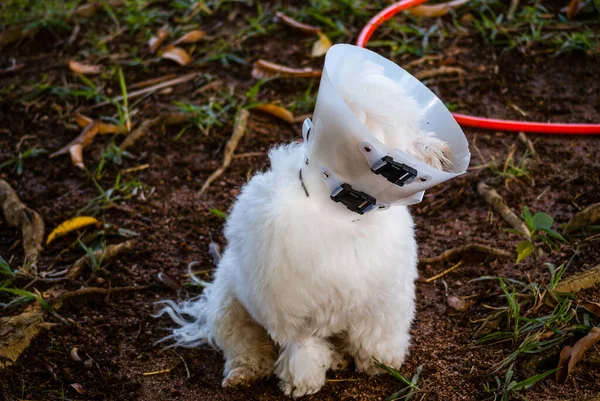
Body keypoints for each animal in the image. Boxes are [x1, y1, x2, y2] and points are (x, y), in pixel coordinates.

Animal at [157, 50, 452, 396]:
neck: (343, 219)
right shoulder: (291, 312)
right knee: (245, 346)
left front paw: (381, 362)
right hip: (228, 307)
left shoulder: (383, 299)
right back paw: (246, 372)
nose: (441, 150)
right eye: (392, 133)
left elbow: (377, 335)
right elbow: (303, 346)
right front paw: (303, 381)